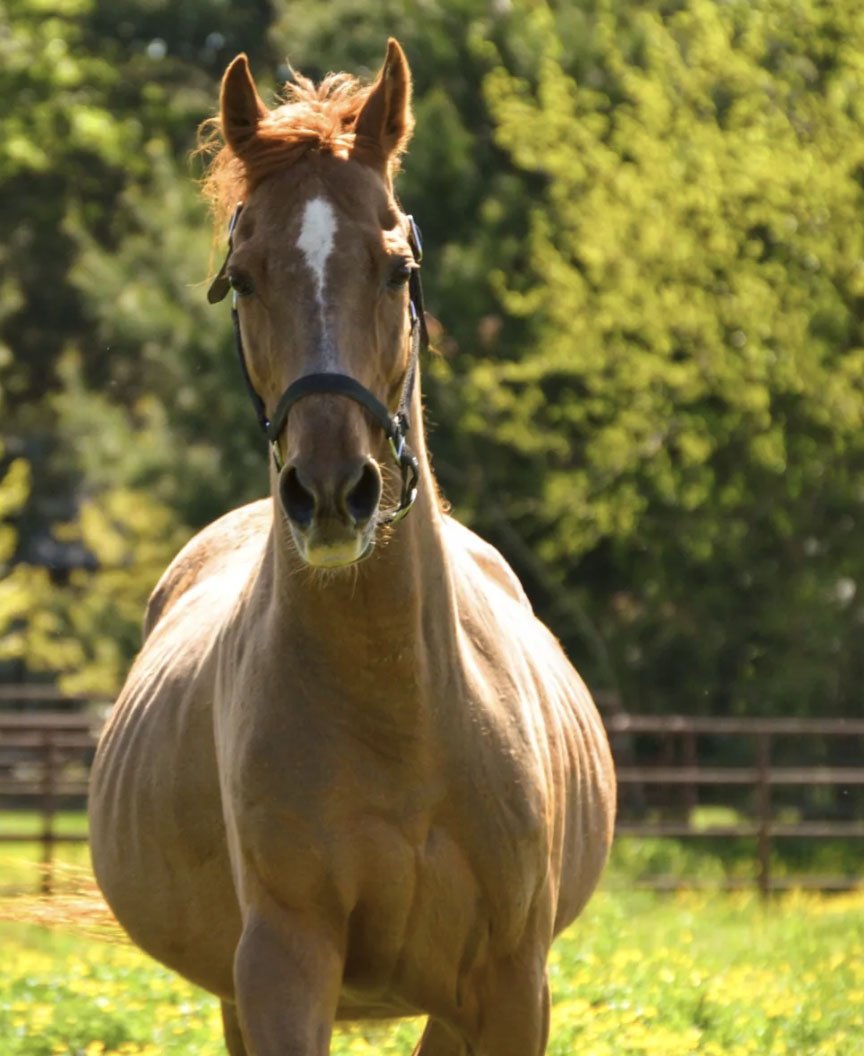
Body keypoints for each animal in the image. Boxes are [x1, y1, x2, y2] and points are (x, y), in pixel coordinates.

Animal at [88, 39, 616, 1056]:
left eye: (397, 269)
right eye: (244, 278)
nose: (331, 492)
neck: (402, 712)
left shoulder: (509, 988)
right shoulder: (283, 966)